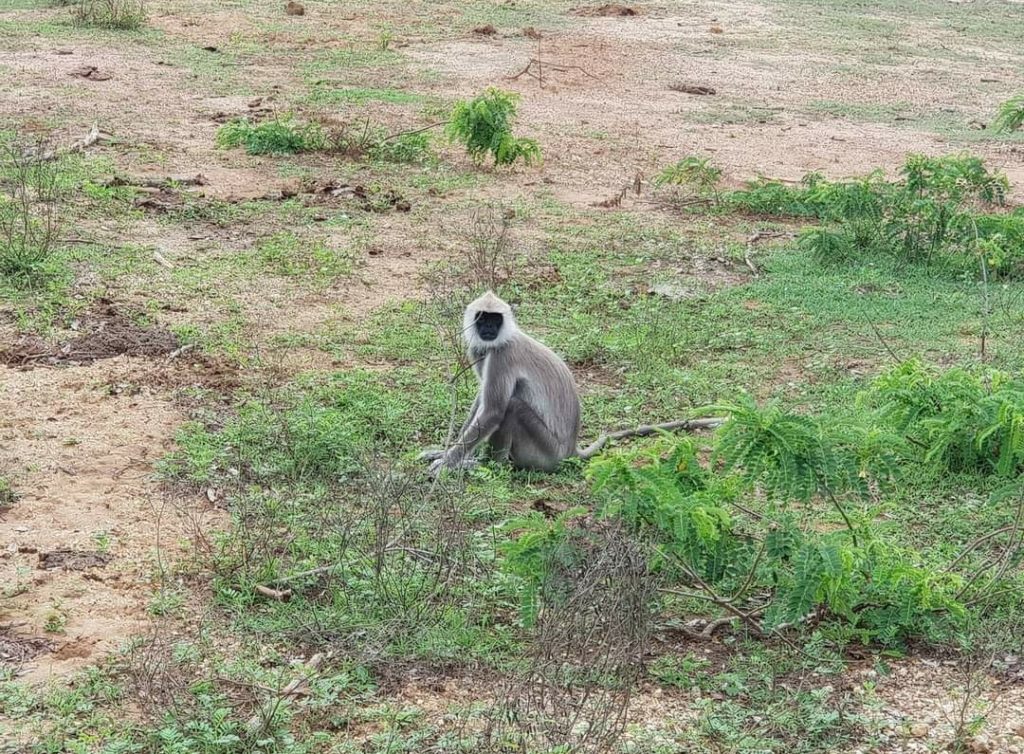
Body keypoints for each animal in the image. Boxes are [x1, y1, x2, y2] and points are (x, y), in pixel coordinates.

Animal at [419, 290, 724, 473]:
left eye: (496, 318)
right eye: (483, 318)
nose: (489, 328)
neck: (500, 340)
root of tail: (569, 450)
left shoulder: (503, 355)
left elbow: (494, 410)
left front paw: (447, 464)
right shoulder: (482, 352)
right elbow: (482, 402)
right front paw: (443, 452)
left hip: (544, 451)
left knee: (512, 407)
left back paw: (488, 465)